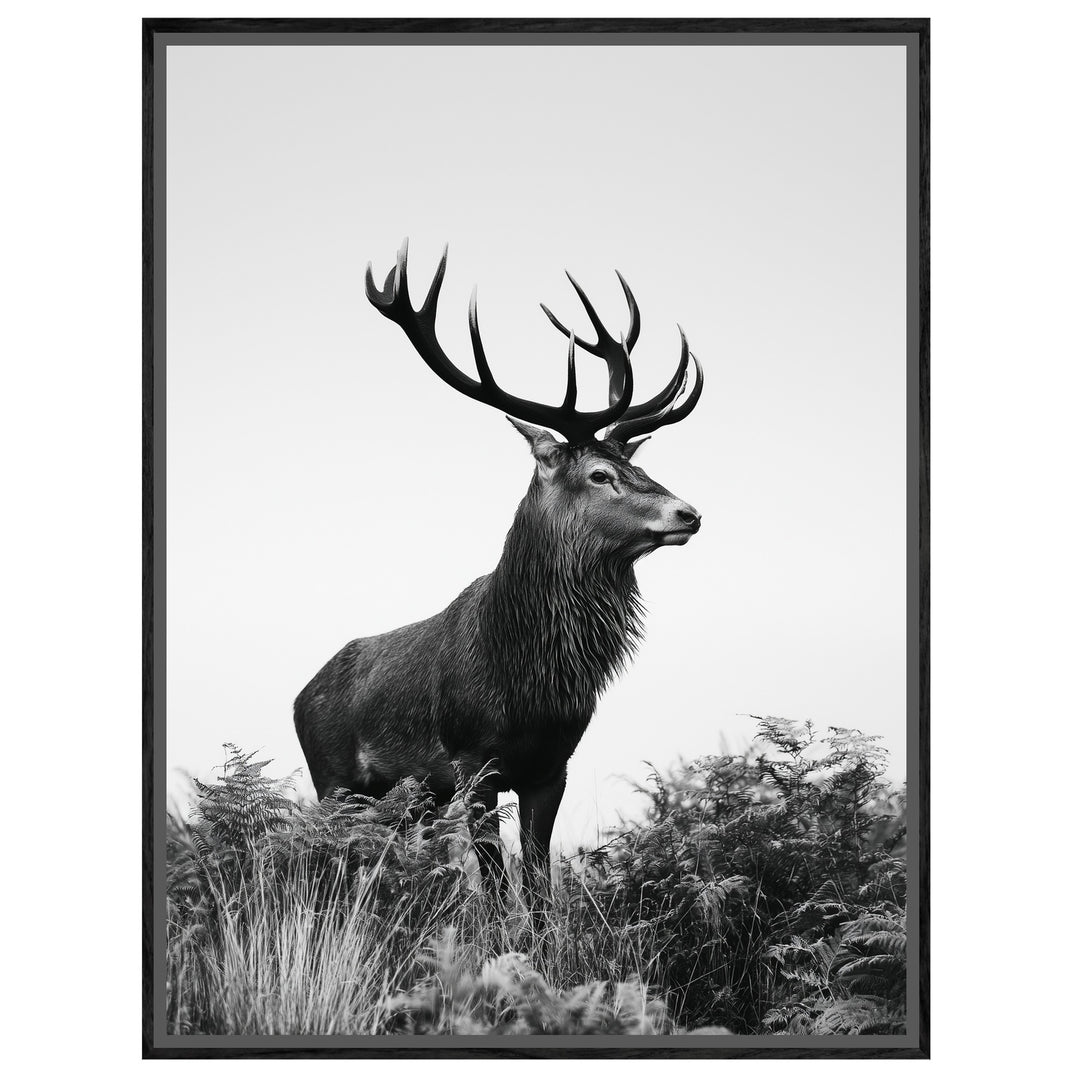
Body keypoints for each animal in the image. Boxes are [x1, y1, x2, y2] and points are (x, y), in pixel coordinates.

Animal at [294, 239, 704, 905]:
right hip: (332, 780)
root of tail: (300, 695)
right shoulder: (473, 763)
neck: (526, 679)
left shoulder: (551, 768)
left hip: (409, 801)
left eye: (637, 466)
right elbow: (492, 882)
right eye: (599, 474)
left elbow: (536, 883)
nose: (689, 512)